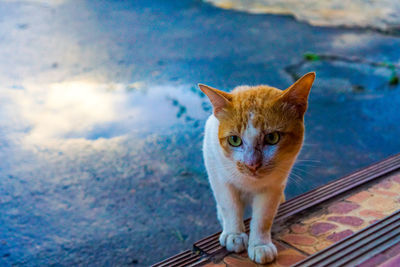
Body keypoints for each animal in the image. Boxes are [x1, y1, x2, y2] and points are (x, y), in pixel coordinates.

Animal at [198, 72, 314, 264]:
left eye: (272, 137)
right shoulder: (217, 171)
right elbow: (229, 205)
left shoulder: (274, 186)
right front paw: (234, 234)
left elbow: (263, 217)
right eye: (234, 140)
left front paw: (260, 244)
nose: (252, 164)